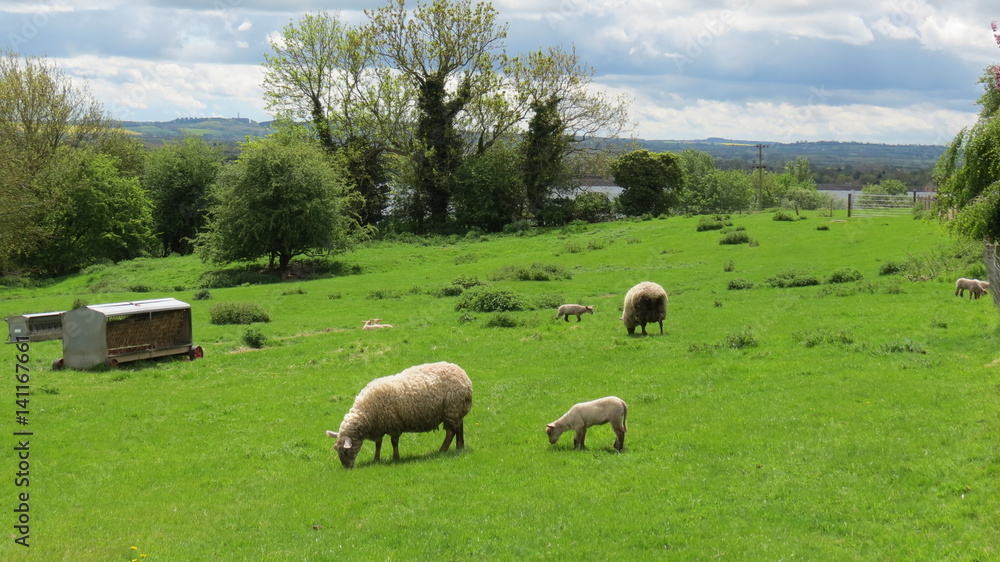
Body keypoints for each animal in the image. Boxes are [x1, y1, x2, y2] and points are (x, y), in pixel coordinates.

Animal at [326, 361, 472, 468]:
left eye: (345, 450)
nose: (347, 467)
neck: (366, 413)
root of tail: (463, 375)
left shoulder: (393, 424)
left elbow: (394, 442)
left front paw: (395, 458)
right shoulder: (379, 426)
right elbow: (378, 444)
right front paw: (376, 459)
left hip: (452, 409)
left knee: (450, 432)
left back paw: (443, 450)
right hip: (456, 410)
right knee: (459, 427)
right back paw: (459, 446)